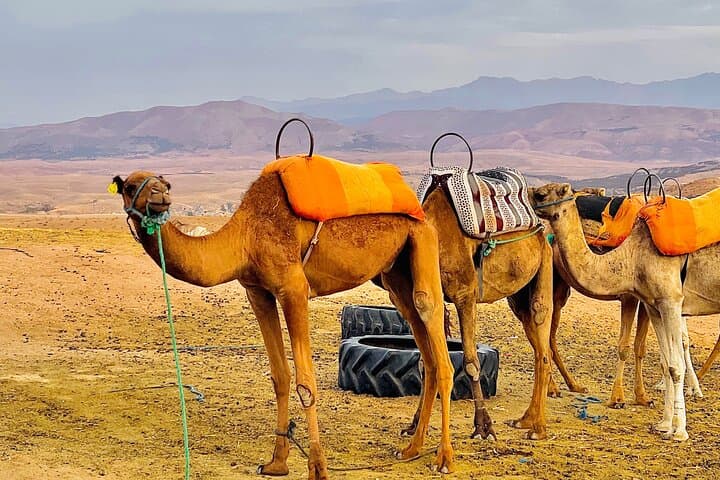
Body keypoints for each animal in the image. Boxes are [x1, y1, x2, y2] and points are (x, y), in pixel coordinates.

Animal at [111, 168, 456, 478]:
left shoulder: (293, 288)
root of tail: (417, 208)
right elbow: (280, 375)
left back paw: (443, 459)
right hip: (396, 272)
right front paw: (276, 463)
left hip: (423, 241)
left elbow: (306, 382)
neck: (245, 236)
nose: (160, 197)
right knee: (424, 350)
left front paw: (317, 468)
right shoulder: (257, 291)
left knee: (432, 325)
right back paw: (411, 449)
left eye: (165, 184)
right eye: (129, 186)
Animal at [532, 182, 720, 441]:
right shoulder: (653, 305)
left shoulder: (670, 301)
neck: (632, 256)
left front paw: (679, 431)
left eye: (546, 194)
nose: (530, 196)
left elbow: (674, 365)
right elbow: (666, 363)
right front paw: (664, 424)